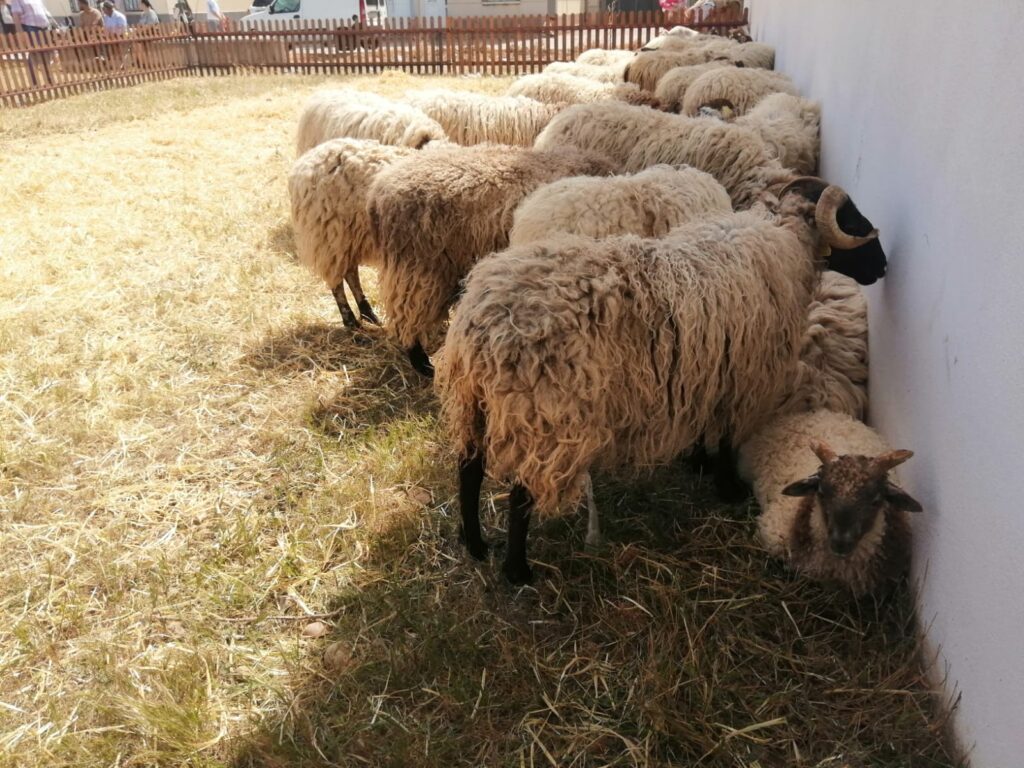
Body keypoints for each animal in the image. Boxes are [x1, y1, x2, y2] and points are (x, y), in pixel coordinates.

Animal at [287, 138, 412, 328]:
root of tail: (305, 161)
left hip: (349, 238)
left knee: (351, 273)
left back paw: (368, 313)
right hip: (331, 236)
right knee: (338, 280)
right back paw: (350, 320)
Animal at [437, 178, 888, 583]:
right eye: (852, 219)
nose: (884, 267)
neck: (782, 240)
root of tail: (484, 322)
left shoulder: (706, 371)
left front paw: (697, 462)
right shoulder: (740, 375)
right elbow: (726, 435)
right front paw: (727, 486)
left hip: (475, 400)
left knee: (469, 470)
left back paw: (475, 544)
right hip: (544, 416)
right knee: (520, 492)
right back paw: (517, 571)